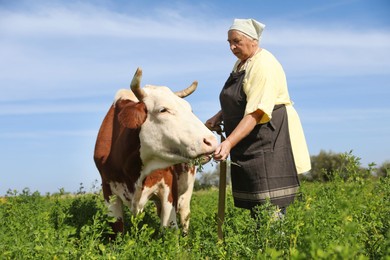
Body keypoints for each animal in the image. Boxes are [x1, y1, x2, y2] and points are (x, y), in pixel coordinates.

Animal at [94, 68, 216, 235]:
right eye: (163, 110)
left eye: (190, 110)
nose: (211, 141)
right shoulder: (108, 190)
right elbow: (117, 230)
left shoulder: (169, 189)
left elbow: (170, 229)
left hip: (187, 189)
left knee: (184, 215)